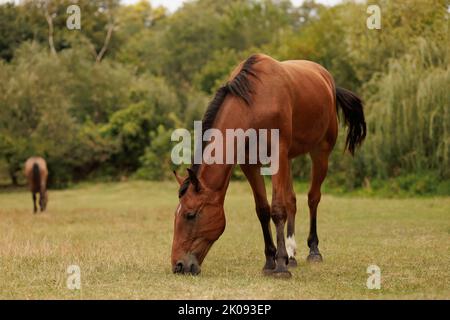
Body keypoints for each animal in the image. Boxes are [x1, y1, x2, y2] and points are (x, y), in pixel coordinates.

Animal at [171, 53, 364, 278]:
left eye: (190, 215)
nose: (178, 265)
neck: (254, 103)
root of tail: (329, 83)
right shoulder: (249, 162)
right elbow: (263, 210)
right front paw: (271, 260)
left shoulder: (278, 155)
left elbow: (278, 209)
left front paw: (280, 266)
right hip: (289, 158)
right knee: (292, 201)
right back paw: (291, 254)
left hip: (320, 152)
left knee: (313, 198)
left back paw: (313, 251)